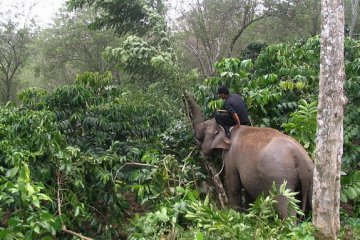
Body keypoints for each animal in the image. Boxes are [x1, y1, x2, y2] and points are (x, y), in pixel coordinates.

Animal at [184, 93, 314, 218]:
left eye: (205, 128)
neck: (230, 129)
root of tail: (299, 158)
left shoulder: (230, 157)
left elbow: (234, 188)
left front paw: (236, 215)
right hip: (311, 173)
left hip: (281, 178)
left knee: (285, 208)